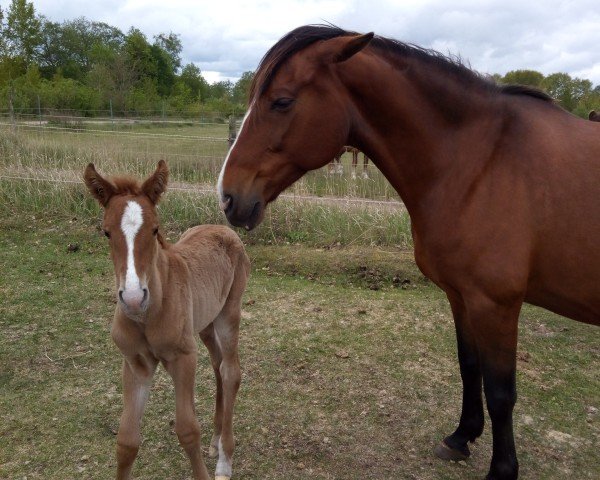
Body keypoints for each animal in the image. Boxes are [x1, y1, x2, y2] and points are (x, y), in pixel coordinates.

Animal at [84, 161, 248, 480]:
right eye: (106, 232)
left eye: (155, 229)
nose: (134, 298)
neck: (148, 316)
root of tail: (223, 227)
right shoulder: (135, 364)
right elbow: (126, 440)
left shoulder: (183, 357)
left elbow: (187, 430)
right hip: (205, 323)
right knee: (218, 364)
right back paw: (215, 441)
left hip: (228, 314)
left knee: (231, 372)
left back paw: (225, 460)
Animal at [218, 26, 600, 480]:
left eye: (281, 101)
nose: (227, 197)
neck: (482, 161)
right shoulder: (461, 296)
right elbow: (469, 367)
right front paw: (461, 437)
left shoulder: (497, 305)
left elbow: (501, 391)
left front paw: (502, 469)